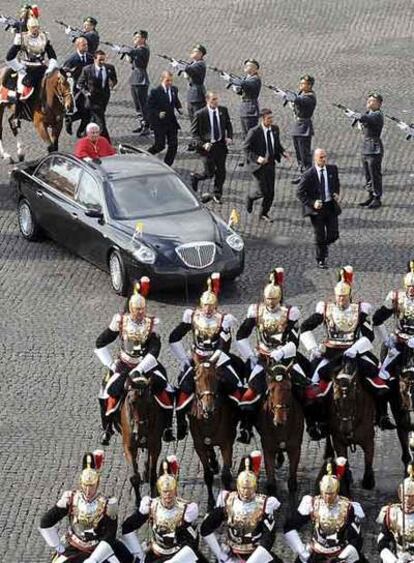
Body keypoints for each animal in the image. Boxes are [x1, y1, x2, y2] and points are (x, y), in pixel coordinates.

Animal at [119, 376, 164, 504]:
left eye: (149, 403)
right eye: (132, 403)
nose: (141, 430)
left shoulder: (155, 445)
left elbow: (153, 475)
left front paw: (153, 497)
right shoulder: (129, 447)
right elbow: (134, 476)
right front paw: (137, 500)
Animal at [189, 362, 238, 512]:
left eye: (216, 378)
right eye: (196, 380)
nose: (208, 408)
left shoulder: (226, 443)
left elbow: (226, 474)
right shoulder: (199, 445)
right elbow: (208, 475)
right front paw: (210, 503)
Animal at [256, 360, 304, 496]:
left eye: (288, 388)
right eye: (271, 389)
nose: (279, 421)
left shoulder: (295, 448)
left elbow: (292, 483)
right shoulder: (268, 449)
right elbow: (271, 484)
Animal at [328, 360, 376, 492]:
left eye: (353, 399)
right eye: (335, 400)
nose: (345, 429)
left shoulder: (369, 441)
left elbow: (368, 461)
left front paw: (368, 480)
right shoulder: (338, 441)